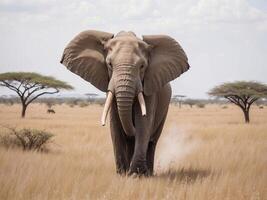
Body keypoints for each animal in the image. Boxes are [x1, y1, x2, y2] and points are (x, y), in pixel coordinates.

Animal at [60, 30, 191, 177]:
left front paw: (136, 174)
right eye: (109, 64)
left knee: (152, 141)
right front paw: (122, 174)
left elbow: (143, 123)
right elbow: (115, 126)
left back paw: (148, 173)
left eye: (142, 66)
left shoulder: (150, 88)